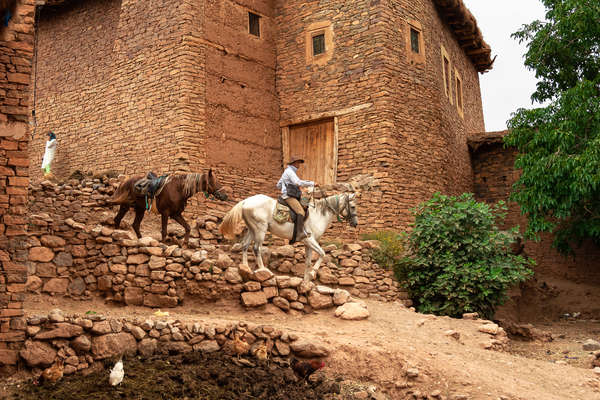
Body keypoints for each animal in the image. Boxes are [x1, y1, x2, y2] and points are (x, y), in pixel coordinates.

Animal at [221, 193, 358, 282]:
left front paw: (306, 281)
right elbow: (323, 254)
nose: (355, 223)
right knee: (256, 248)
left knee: (245, 245)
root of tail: (246, 202)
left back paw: (246, 268)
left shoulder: (307, 244)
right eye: (352, 206)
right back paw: (264, 271)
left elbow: (308, 262)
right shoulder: (309, 239)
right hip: (260, 230)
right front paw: (313, 272)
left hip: (252, 229)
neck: (319, 215)